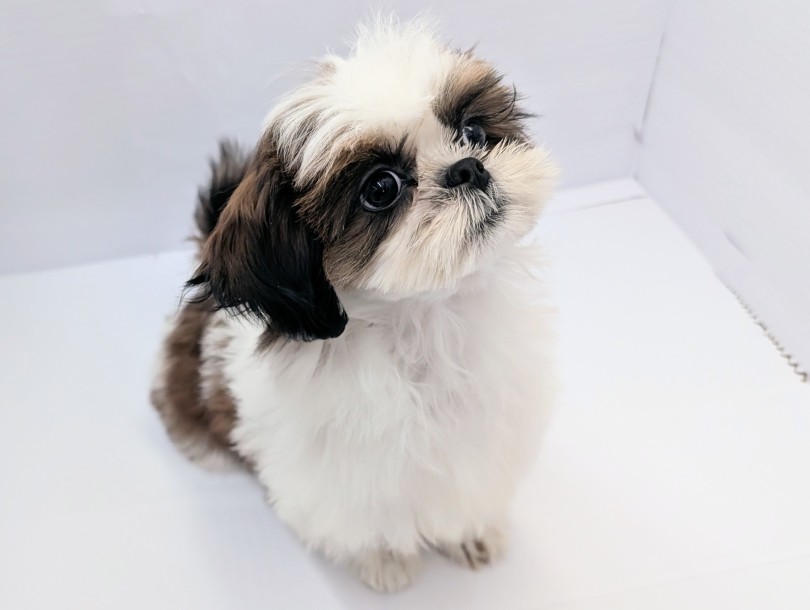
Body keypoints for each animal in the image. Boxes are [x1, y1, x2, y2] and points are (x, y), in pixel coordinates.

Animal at [151, 16, 557, 593]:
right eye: (380, 188)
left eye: (475, 133)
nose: (469, 168)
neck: (426, 320)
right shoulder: (341, 476)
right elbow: (363, 520)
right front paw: (383, 561)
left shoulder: (485, 435)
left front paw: (470, 532)